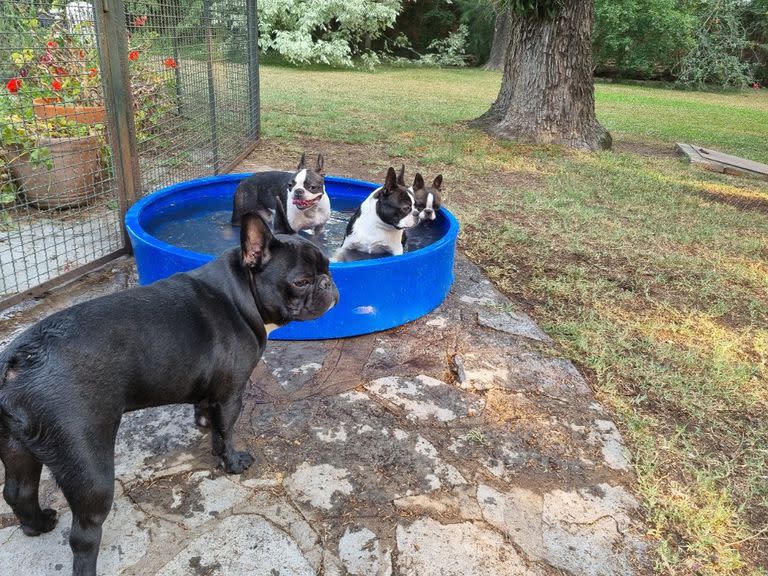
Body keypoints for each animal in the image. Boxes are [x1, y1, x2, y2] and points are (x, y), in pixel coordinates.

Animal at [0, 213, 340, 576]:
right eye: (302, 281)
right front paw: (232, 462)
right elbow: (226, 433)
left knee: (19, 491)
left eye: (328, 267)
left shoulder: (212, 393)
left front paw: (205, 425)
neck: (241, 292)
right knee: (83, 534)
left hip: (18, 446)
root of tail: (18, 360)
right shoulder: (231, 394)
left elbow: (208, 415)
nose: (328, 283)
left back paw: (37, 525)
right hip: (88, 464)